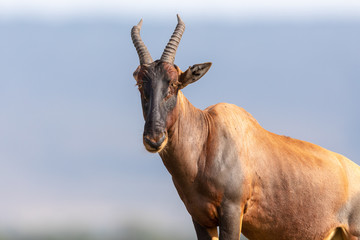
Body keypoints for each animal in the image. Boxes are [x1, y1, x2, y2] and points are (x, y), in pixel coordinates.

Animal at [131, 15, 358, 240]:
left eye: (174, 83)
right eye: (140, 84)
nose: (154, 139)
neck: (207, 138)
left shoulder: (232, 211)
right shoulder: (199, 217)